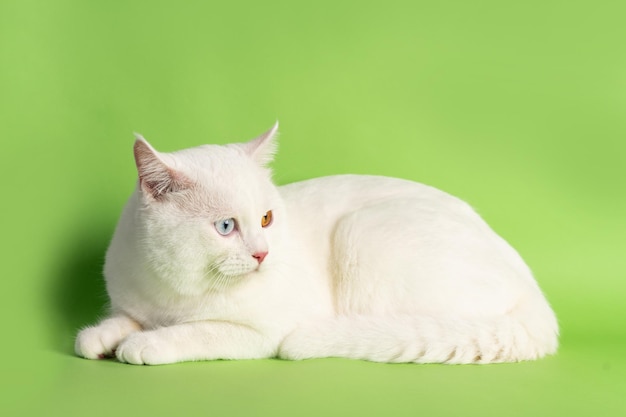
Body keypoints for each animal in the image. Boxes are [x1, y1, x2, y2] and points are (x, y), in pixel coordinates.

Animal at [75, 122, 560, 364]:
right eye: (226, 227)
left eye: (266, 219)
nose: (263, 253)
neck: (175, 289)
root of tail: (532, 290)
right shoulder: (133, 303)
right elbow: (121, 320)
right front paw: (99, 337)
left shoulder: (258, 334)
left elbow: (199, 331)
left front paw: (145, 345)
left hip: (366, 235)